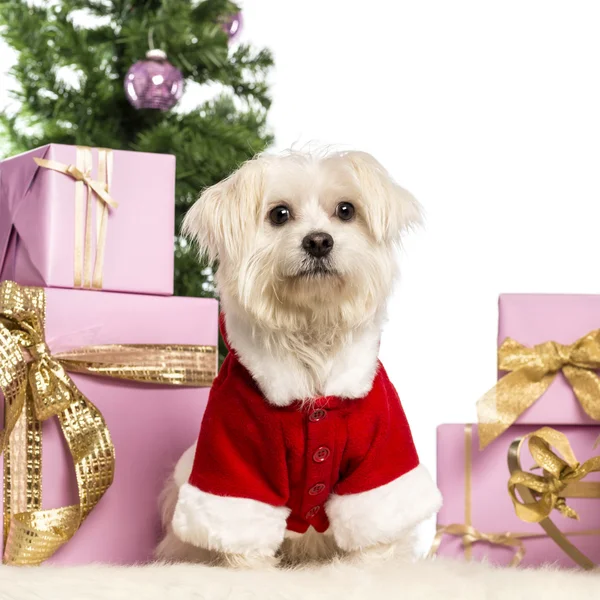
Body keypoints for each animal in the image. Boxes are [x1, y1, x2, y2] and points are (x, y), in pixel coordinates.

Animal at [157, 149, 442, 568]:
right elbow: (244, 537)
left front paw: (368, 572)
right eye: (279, 214)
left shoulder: (381, 456)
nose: (319, 241)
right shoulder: (235, 462)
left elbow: (375, 533)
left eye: (345, 210)